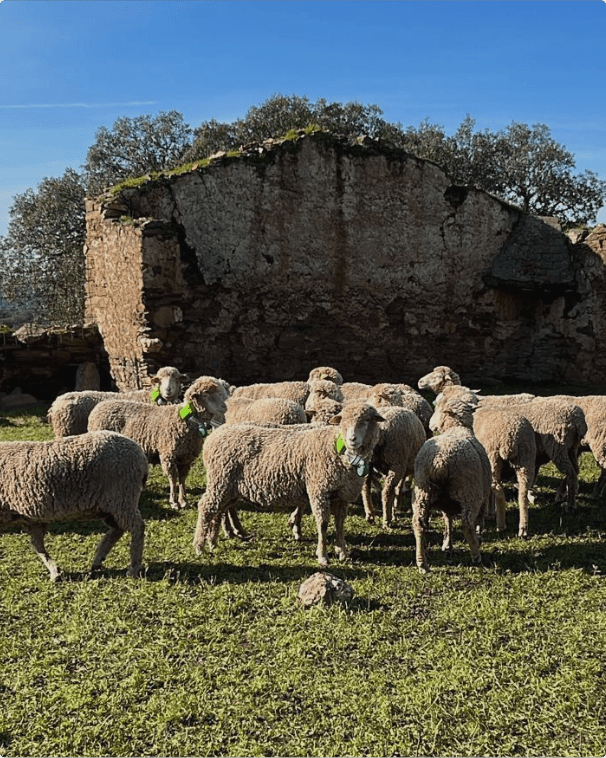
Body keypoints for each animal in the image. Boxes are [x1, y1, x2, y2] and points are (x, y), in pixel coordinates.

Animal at [0, 430, 150, 584]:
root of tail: (139, 453)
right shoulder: (32, 518)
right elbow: (38, 545)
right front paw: (55, 571)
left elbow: (37, 545)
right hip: (110, 506)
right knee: (118, 529)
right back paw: (98, 560)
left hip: (123, 496)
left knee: (137, 526)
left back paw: (134, 568)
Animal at [86, 376, 227, 510]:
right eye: (206, 394)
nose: (224, 407)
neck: (187, 419)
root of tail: (98, 408)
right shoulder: (168, 455)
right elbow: (173, 479)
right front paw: (174, 502)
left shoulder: (185, 458)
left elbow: (182, 479)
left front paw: (183, 501)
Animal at [192, 404, 388, 564]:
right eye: (343, 421)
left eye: (367, 420)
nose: (352, 439)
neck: (338, 449)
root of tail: (214, 436)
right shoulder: (319, 490)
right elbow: (323, 524)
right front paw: (323, 556)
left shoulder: (342, 494)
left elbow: (340, 524)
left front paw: (343, 552)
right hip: (220, 481)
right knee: (206, 507)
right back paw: (199, 546)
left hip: (228, 487)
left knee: (218, 511)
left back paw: (213, 542)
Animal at [414, 418, 494, 572]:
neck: (457, 427)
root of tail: (439, 462)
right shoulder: (483, 499)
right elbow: (479, 522)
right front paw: (478, 538)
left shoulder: (447, 505)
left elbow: (448, 521)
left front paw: (447, 545)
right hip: (469, 494)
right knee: (467, 525)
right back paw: (476, 556)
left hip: (422, 493)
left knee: (418, 525)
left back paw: (422, 563)